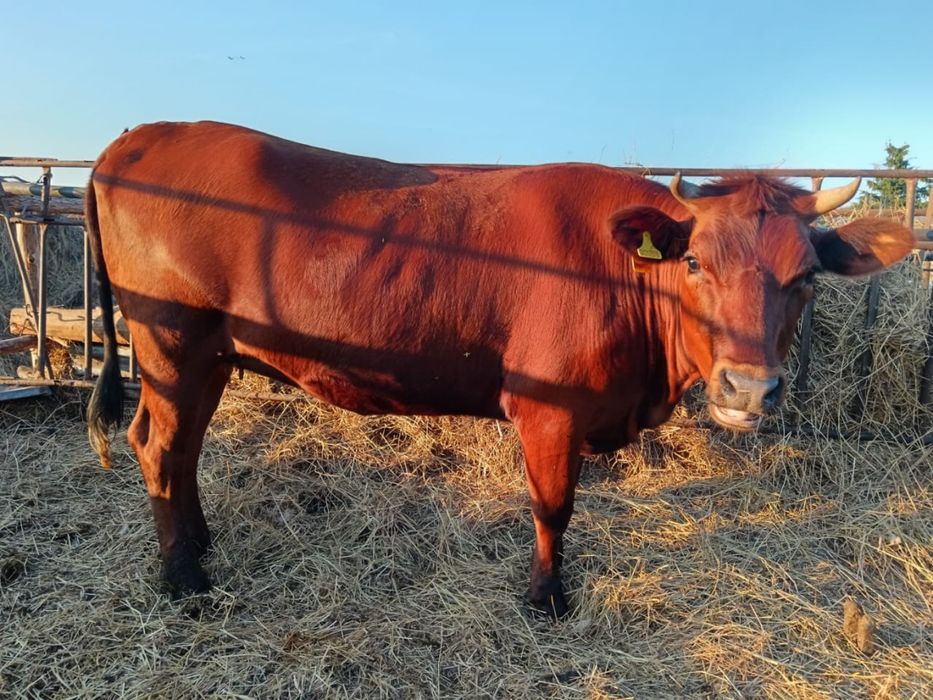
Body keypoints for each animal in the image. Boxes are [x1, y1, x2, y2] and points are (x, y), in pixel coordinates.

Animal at [84, 121, 913, 617]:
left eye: (806, 276)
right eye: (694, 263)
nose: (748, 388)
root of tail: (138, 137)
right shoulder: (549, 411)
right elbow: (553, 507)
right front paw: (546, 596)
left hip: (206, 357)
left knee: (181, 449)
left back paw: (197, 544)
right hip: (171, 342)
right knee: (159, 445)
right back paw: (183, 578)